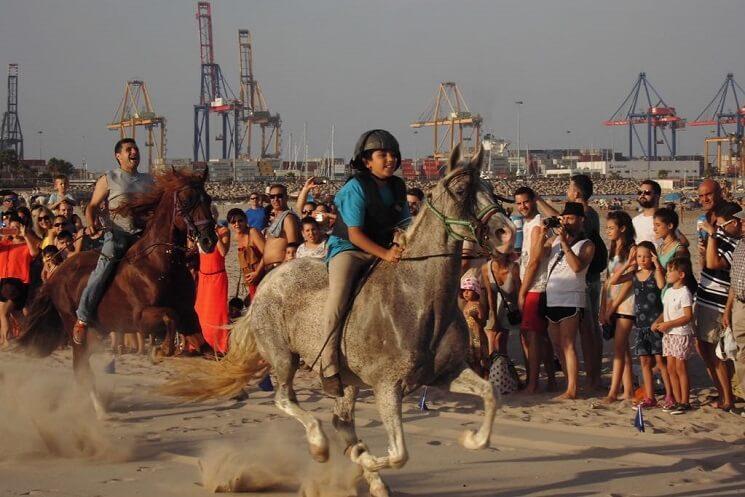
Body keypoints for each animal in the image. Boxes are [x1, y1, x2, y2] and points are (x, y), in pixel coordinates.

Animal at [17, 169, 217, 416]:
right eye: (187, 200)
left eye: (208, 199)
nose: (209, 240)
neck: (160, 263)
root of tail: (57, 272)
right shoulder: (141, 318)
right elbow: (170, 317)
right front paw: (159, 351)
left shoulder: (189, 315)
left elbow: (206, 346)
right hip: (76, 327)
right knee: (80, 365)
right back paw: (100, 410)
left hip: (97, 331)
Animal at [167, 145, 516, 494]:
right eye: (462, 190)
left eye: (490, 188)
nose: (506, 234)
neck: (419, 298)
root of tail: (268, 281)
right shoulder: (387, 387)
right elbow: (399, 454)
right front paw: (367, 460)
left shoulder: (446, 373)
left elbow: (491, 394)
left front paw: (471, 439)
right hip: (284, 358)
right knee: (286, 400)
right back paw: (320, 446)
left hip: (345, 381)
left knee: (341, 421)